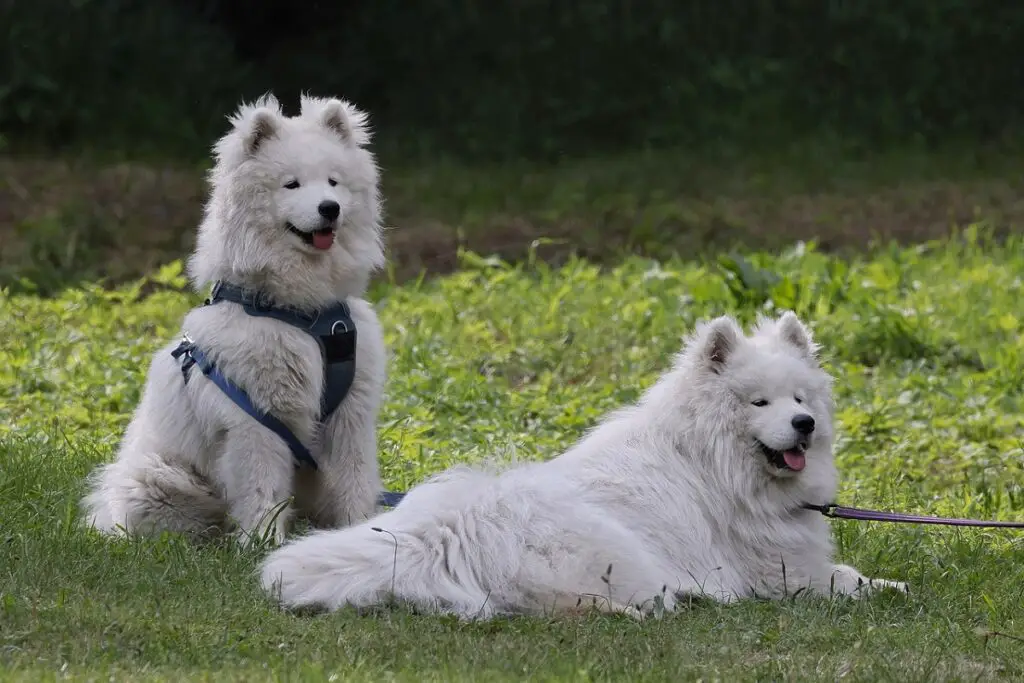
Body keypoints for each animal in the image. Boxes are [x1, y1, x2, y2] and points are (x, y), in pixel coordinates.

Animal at [80, 93, 387, 548]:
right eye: (292, 184)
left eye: (333, 182)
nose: (329, 209)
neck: (302, 312)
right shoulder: (255, 422)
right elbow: (262, 489)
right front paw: (261, 542)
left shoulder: (351, 415)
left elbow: (355, 479)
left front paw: (359, 531)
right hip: (160, 477)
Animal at [260, 315, 909, 618]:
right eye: (759, 403)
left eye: (801, 398)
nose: (805, 425)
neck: (710, 460)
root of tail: (442, 533)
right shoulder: (780, 573)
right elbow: (848, 580)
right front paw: (891, 587)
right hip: (610, 549)